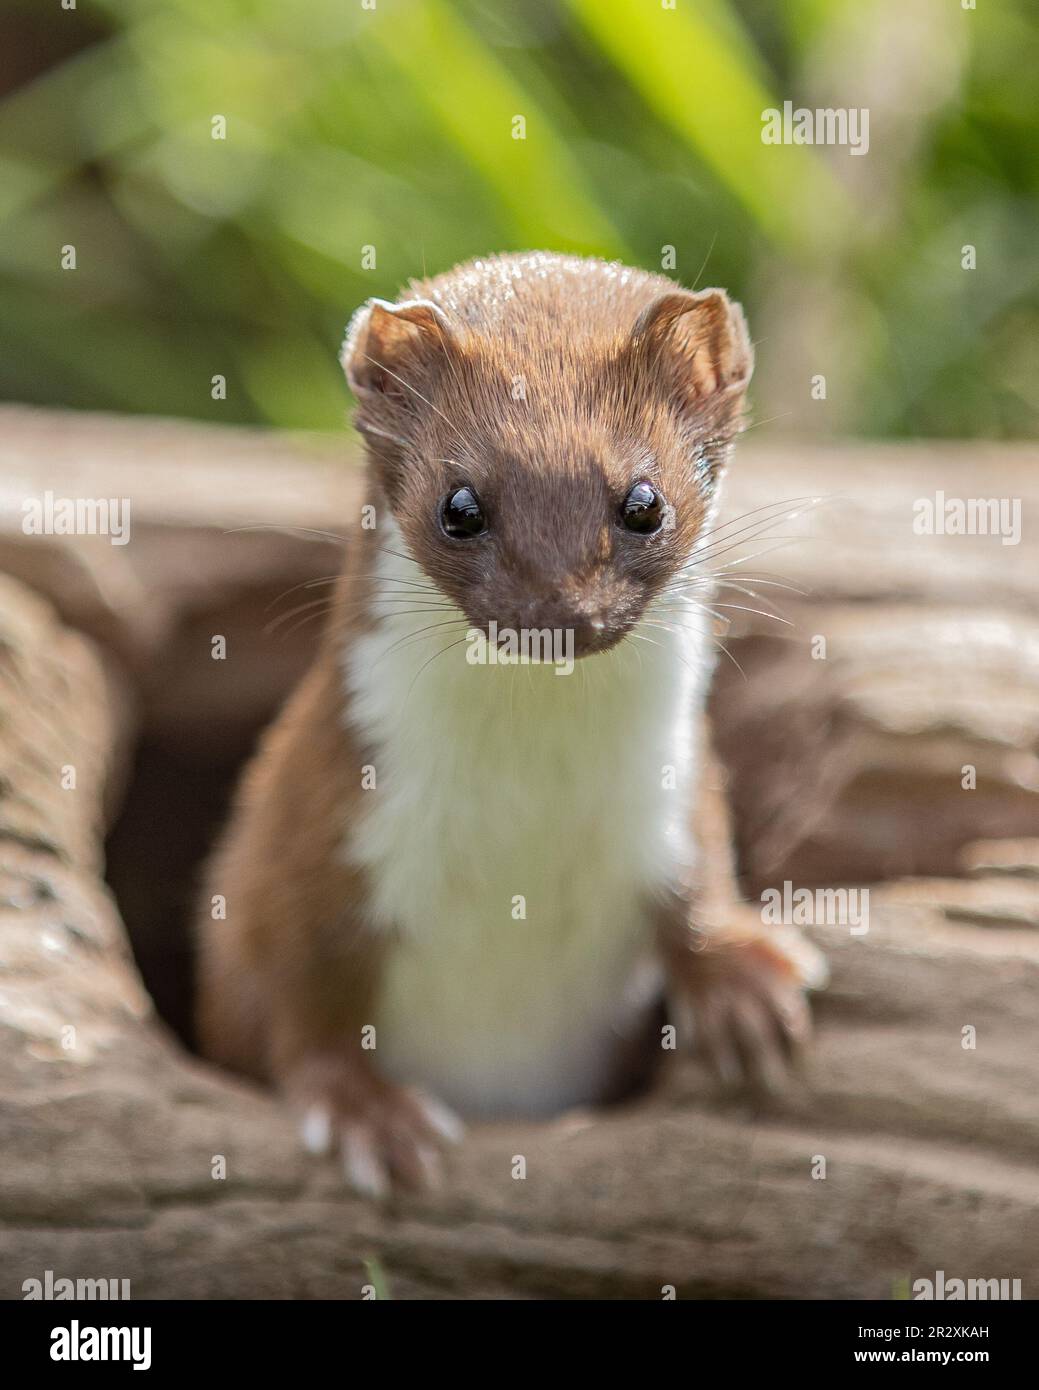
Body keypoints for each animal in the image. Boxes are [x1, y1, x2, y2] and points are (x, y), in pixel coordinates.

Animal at [198, 250, 823, 1195]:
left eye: (643, 501)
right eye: (459, 505)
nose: (555, 611)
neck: (525, 819)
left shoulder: (672, 782)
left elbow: (699, 862)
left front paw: (743, 984)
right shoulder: (312, 818)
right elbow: (298, 986)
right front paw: (364, 1114)